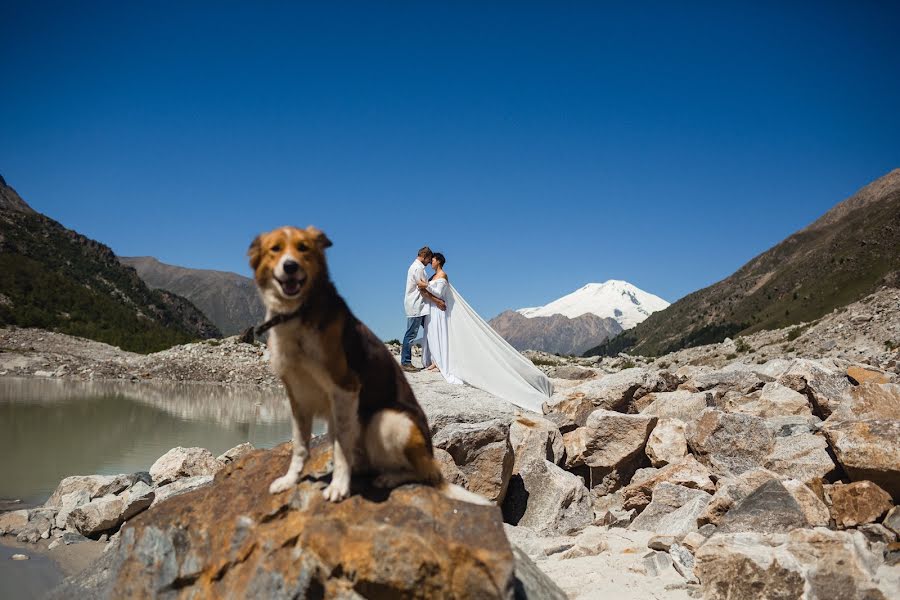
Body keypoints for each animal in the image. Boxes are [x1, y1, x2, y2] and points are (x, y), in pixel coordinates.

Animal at [246, 227, 488, 504]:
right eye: (275, 249)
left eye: (303, 248)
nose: (290, 267)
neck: (297, 313)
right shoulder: (297, 396)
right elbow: (300, 446)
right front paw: (290, 480)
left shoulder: (345, 388)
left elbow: (341, 448)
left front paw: (338, 487)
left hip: (387, 419)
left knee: (421, 473)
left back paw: (389, 478)